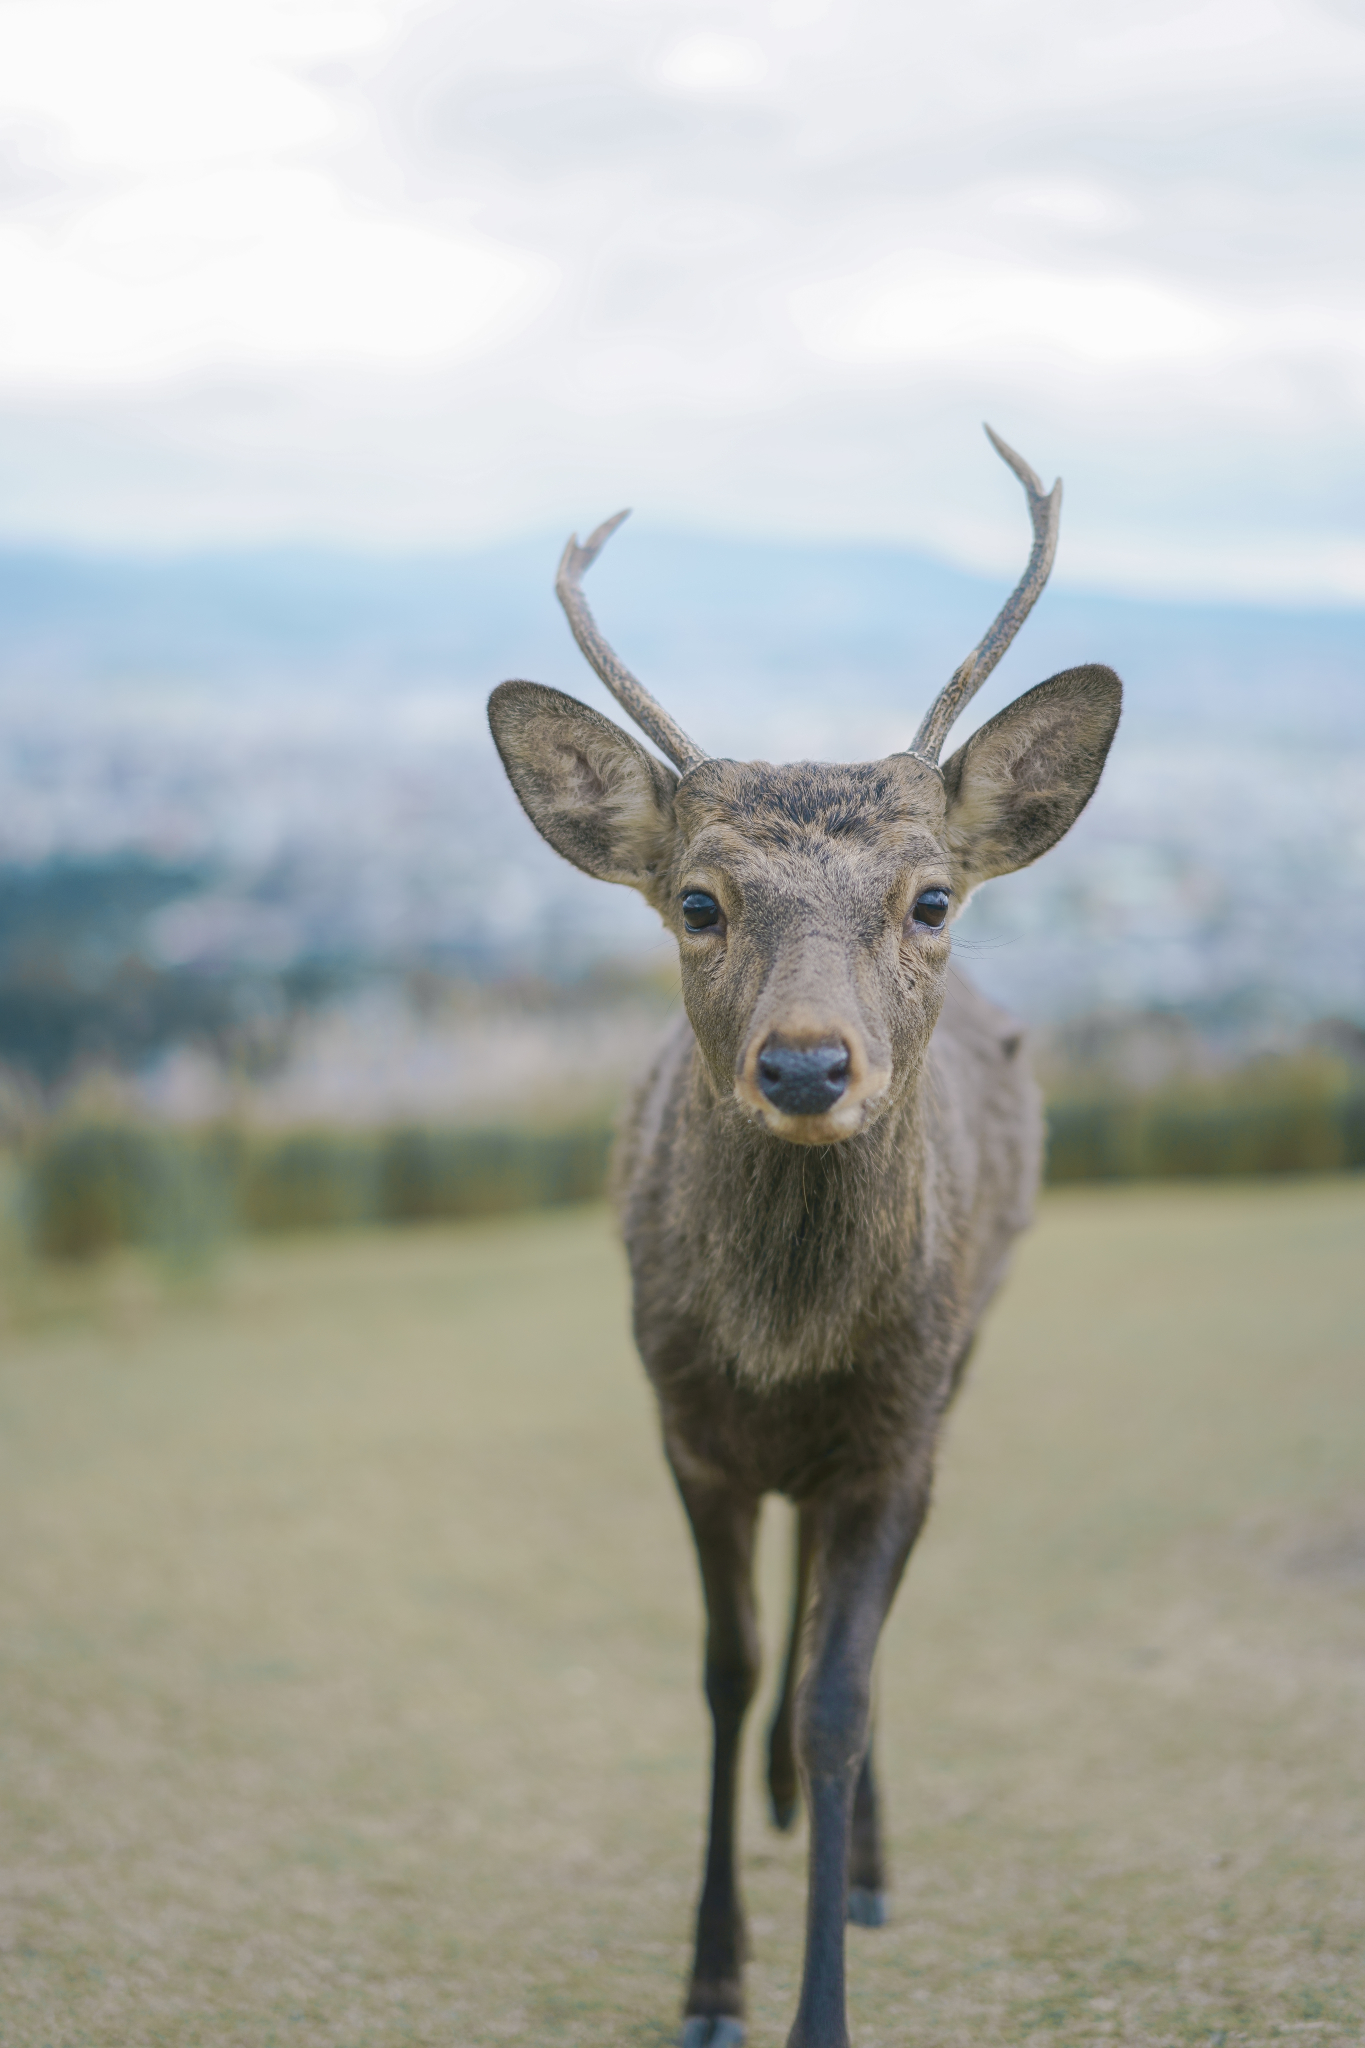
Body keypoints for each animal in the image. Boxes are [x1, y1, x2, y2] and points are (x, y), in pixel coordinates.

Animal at [489, 428, 1121, 2048]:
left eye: (931, 896)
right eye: (697, 902)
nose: (805, 1065)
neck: (780, 1357)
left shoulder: (898, 1431)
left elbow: (843, 1689)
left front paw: (818, 1999)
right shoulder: (685, 1426)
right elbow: (724, 1669)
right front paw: (712, 1978)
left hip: (965, 1359)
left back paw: (864, 1859)